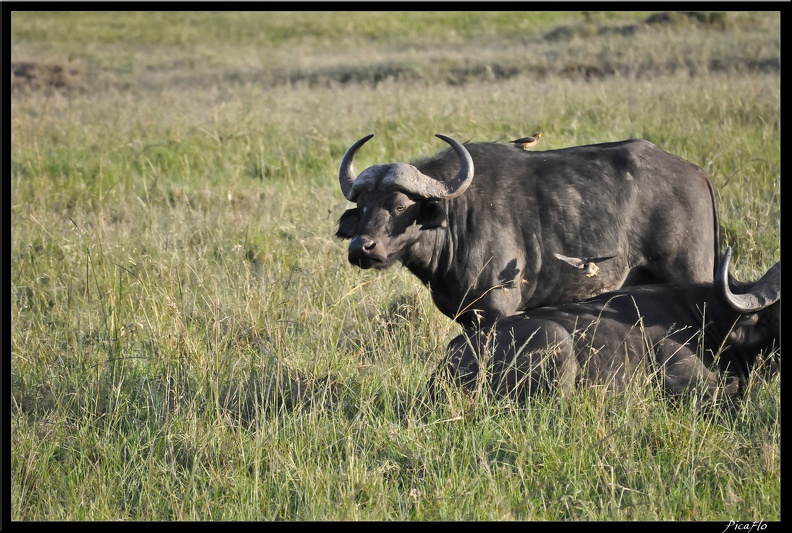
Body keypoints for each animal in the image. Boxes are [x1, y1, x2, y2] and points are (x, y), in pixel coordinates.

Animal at [338, 135, 720, 326]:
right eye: (363, 206)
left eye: (401, 206)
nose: (361, 248)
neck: (457, 221)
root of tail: (696, 172)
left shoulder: (495, 312)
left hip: (690, 272)